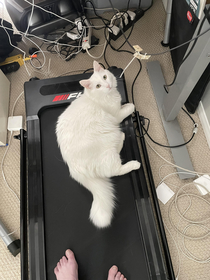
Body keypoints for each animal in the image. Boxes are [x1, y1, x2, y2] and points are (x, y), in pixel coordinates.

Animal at [56, 60, 140, 228]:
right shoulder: (116, 115)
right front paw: (130, 105)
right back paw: (132, 160)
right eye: (98, 86)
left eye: (105, 77)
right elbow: (128, 107)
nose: (107, 85)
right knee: (115, 170)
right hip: (110, 142)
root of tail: (74, 170)